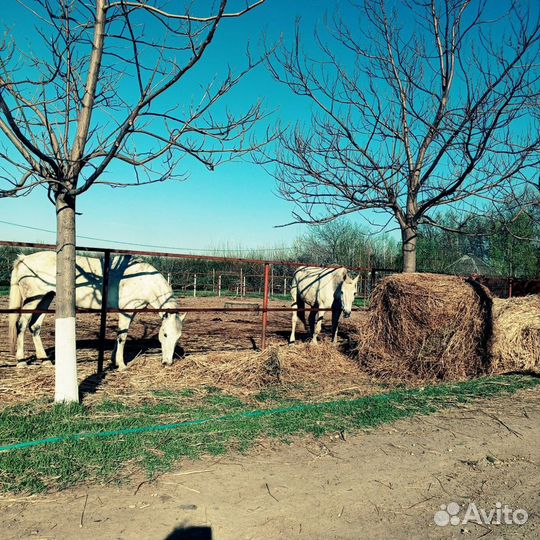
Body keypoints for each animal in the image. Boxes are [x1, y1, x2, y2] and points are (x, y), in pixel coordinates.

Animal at [6, 251, 186, 370]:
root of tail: (24, 259)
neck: (142, 279)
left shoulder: (132, 311)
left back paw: (45, 360)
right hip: (33, 299)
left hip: (46, 298)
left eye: (178, 337)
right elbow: (122, 336)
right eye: (165, 335)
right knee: (22, 325)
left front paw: (114, 361)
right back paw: (21, 361)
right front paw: (121, 365)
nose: (167, 363)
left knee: (35, 327)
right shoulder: (126, 312)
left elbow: (120, 334)